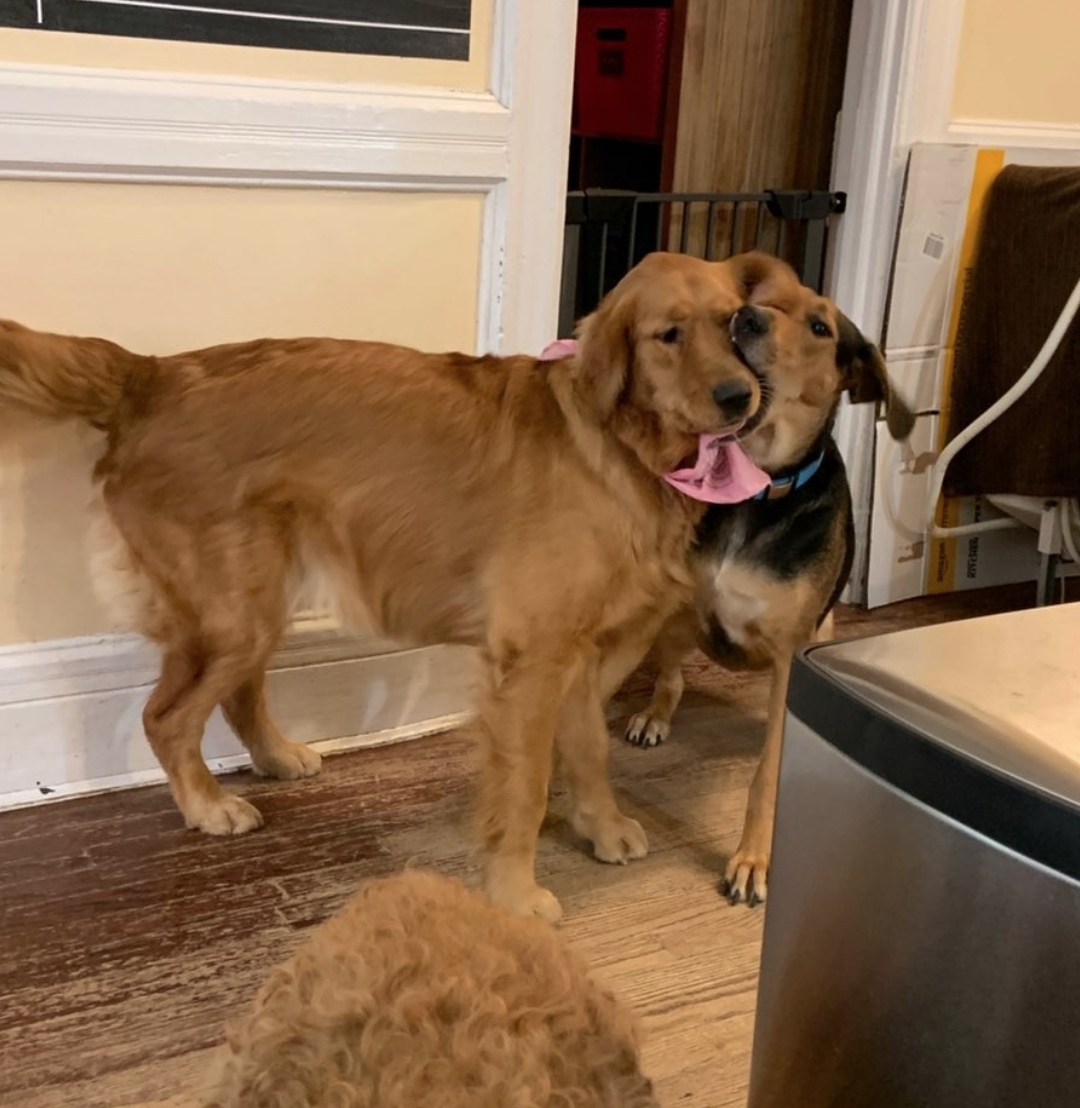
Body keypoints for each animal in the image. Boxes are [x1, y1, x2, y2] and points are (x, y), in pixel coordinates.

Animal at [0, 252, 765, 922]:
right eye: (669, 335)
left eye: (736, 323)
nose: (741, 398)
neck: (613, 442)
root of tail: (150, 374)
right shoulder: (531, 661)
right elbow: (522, 791)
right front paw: (515, 894)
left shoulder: (574, 653)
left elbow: (589, 750)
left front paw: (602, 827)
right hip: (234, 610)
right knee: (166, 716)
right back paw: (208, 806)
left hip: (258, 599)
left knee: (239, 694)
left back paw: (275, 757)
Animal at [623, 255, 914, 906]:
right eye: (765, 301)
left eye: (820, 327)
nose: (745, 319)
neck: (755, 487)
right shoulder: (683, 600)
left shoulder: (788, 660)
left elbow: (767, 775)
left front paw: (753, 860)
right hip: (680, 625)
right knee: (673, 675)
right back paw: (654, 715)